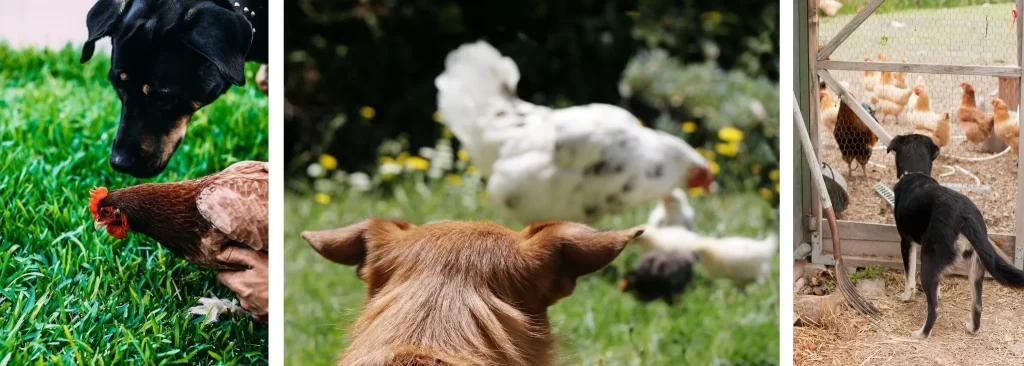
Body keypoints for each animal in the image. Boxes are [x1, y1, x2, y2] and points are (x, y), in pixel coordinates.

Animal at [888, 134, 1024, 338]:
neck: (915, 173)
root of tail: (965, 215)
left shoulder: (906, 242)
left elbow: (909, 275)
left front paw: (906, 296)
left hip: (930, 260)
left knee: (934, 309)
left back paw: (921, 334)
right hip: (976, 266)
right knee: (977, 305)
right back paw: (972, 329)